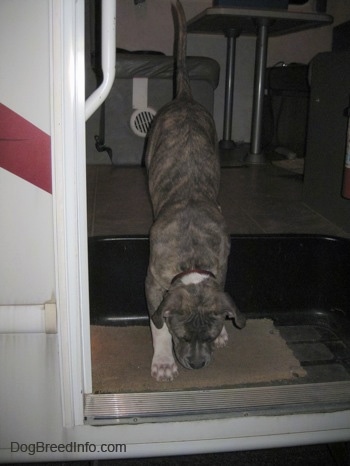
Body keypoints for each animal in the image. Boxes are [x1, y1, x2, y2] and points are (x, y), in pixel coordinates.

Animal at [144, 0, 245, 380]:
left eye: (212, 333)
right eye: (181, 335)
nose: (198, 365)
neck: (192, 260)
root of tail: (185, 96)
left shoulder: (222, 265)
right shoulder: (154, 283)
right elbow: (156, 323)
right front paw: (162, 361)